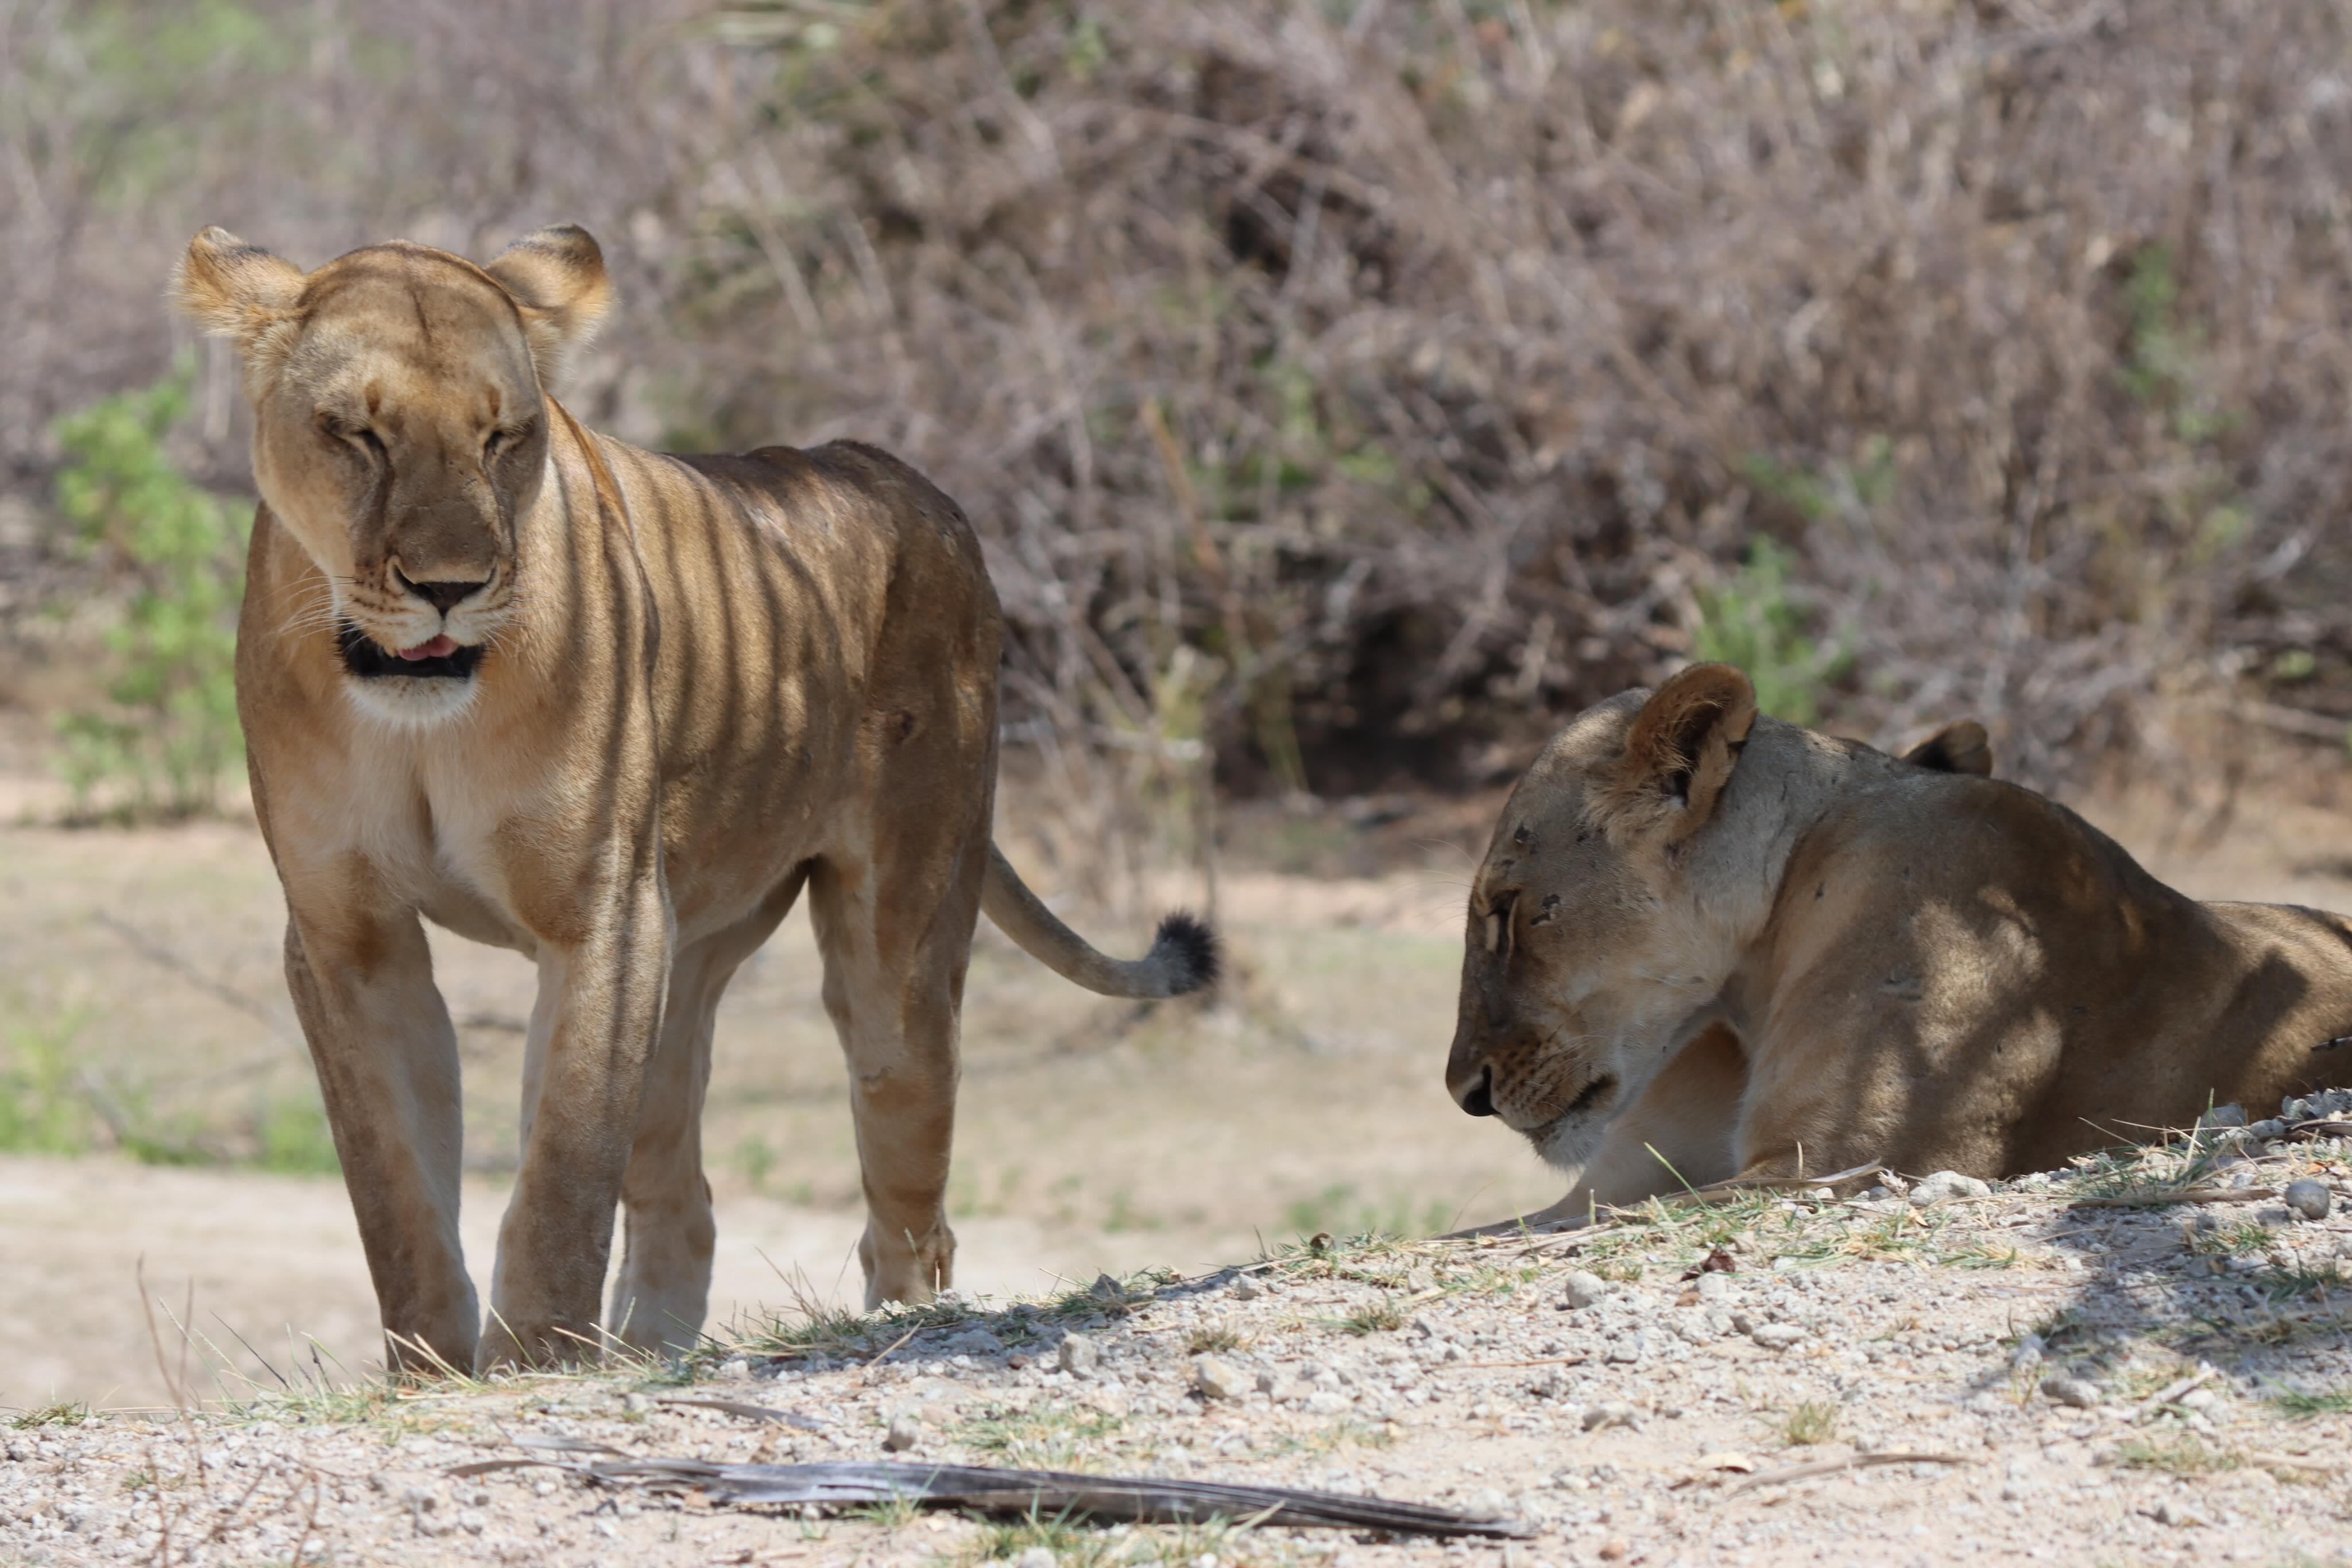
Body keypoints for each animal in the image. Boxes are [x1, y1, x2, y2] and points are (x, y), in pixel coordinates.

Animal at [174, 224, 1215, 1373]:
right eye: (357, 433)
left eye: (504, 438)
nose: (450, 587)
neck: (418, 722)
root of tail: (907, 480)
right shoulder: (345, 934)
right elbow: (395, 1190)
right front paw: (432, 1371)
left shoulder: (603, 913)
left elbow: (560, 1176)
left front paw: (535, 1362)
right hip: (694, 949)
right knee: (685, 1191)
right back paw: (650, 1352)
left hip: (895, 961)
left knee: (909, 1194)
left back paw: (893, 1328)